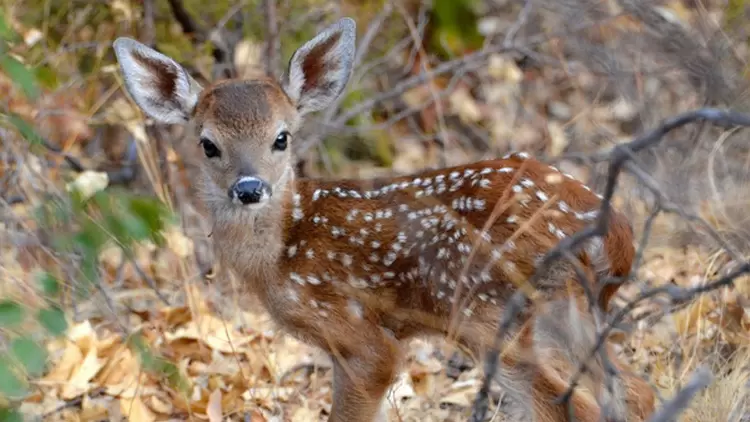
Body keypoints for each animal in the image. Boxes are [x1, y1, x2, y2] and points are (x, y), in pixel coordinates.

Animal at [112, 17, 655, 422]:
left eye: (281, 137)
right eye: (208, 144)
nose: (249, 188)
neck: (284, 251)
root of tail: (613, 231)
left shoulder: (359, 334)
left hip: (490, 308)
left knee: (572, 405)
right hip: (573, 312)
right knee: (633, 389)